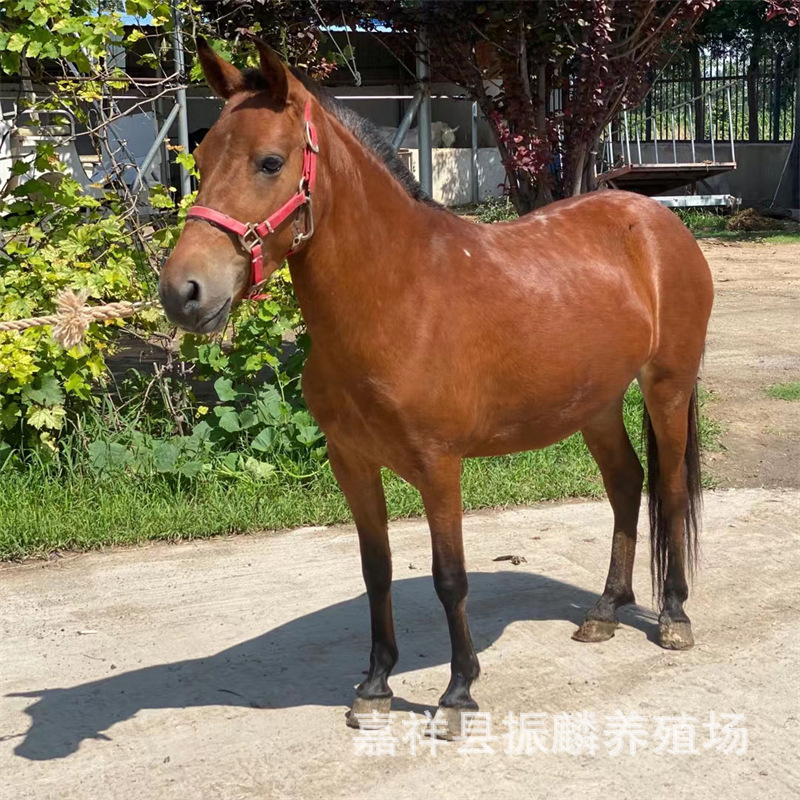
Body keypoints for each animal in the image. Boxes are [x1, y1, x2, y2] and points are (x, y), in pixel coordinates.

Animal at [159, 37, 714, 738]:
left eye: (270, 162)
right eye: (201, 159)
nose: (184, 292)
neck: (400, 297)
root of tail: (655, 220)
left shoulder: (439, 465)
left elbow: (450, 578)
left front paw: (458, 693)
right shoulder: (352, 463)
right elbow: (376, 570)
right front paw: (374, 686)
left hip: (666, 388)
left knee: (668, 489)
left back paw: (674, 617)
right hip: (595, 404)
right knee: (625, 485)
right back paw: (607, 610)